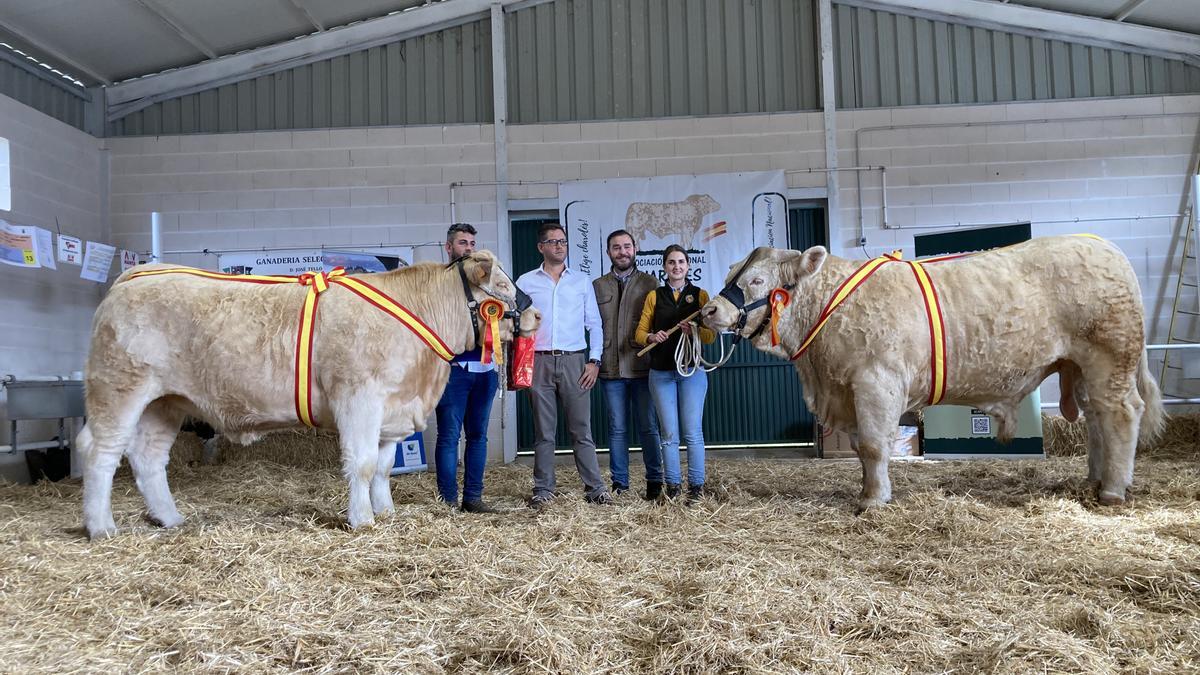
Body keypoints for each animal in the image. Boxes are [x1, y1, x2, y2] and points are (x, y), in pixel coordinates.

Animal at [76, 249, 540, 538]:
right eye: (502, 287)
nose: (535, 314)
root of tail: (132, 278)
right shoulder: (359, 397)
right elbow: (363, 464)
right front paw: (362, 520)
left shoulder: (393, 408)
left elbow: (384, 467)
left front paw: (386, 512)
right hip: (119, 389)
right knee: (101, 453)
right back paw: (101, 527)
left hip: (166, 403)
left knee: (149, 457)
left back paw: (171, 518)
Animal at [700, 236, 1161, 509]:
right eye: (731, 274)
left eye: (757, 280)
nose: (710, 310)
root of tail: (1103, 245)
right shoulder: (849, 391)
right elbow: (862, 448)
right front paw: (867, 491)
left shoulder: (876, 381)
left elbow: (873, 446)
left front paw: (873, 501)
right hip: (1080, 367)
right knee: (1097, 419)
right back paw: (1094, 480)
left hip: (1109, 357)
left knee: (1121, 413)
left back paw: (1113, 490)